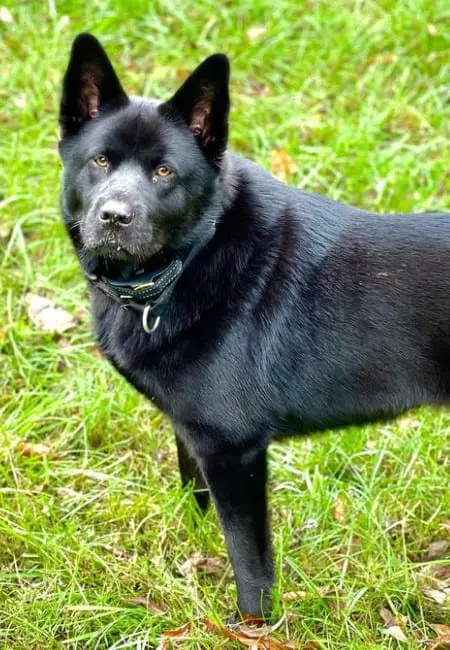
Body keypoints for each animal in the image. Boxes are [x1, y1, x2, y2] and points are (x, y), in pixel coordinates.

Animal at [59, 34, 450, 616]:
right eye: (100, 160)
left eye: (164, 172)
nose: (114, 217)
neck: (191, 261)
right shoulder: (192, 431)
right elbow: (195, 496)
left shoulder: (233, 450)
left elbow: (249, 559)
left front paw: (253, 623)